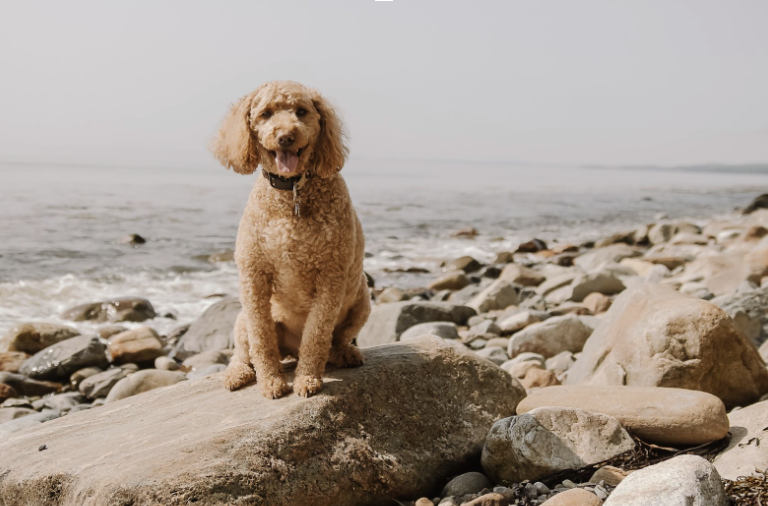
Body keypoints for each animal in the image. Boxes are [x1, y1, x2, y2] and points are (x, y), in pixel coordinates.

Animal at [207, 81, 368, 400]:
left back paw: (343, 354)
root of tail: (291, 350)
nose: (285, 137)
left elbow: (317, 335)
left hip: (363, 300)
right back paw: (238, 373)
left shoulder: (331, 276)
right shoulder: (253, 275)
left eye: (302, 112)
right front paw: (270, 381)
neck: (291, 188)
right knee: (242, 352)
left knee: (336, 340)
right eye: (266, 114)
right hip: (241, 318)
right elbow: (261, 338)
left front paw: (307, 378)